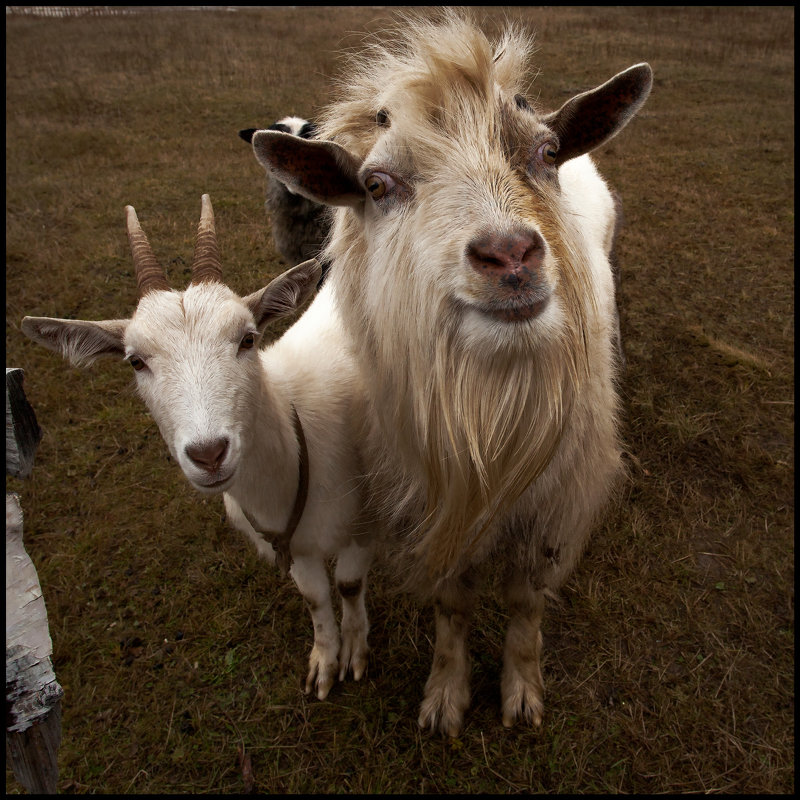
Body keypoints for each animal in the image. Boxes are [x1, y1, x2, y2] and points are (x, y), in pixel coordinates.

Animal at [20, 197, 376, 704]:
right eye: (136, 361)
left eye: (247, 338)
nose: (209, 454)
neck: (302, 431)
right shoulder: (294, 547)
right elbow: (316, 598)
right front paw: (325, 663)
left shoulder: (367, 524)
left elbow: (347, 585)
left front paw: (356, 653)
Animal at [248, 14, 648, 736]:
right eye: (377, 186)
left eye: (545, 152)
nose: (510, 254)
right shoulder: (436, 502)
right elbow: (452, 603)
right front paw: (444, 695)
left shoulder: (551, 514)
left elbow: (524, 603)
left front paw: (521, 691)